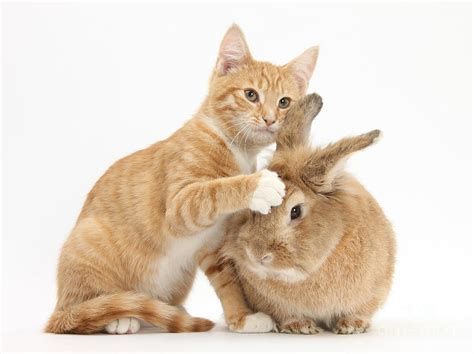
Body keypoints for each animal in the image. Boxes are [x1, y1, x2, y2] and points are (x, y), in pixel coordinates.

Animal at [45, 24, 318, 334]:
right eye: (251, 95)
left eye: (284, 102)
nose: (270, 119)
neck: (238, 150)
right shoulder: (179, 205)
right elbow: (214, 191)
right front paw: (259, 184)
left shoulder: (215, 245)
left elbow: (228, 282)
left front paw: (242, 318)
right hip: (89, 242)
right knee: (85, 309)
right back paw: (119, 317)